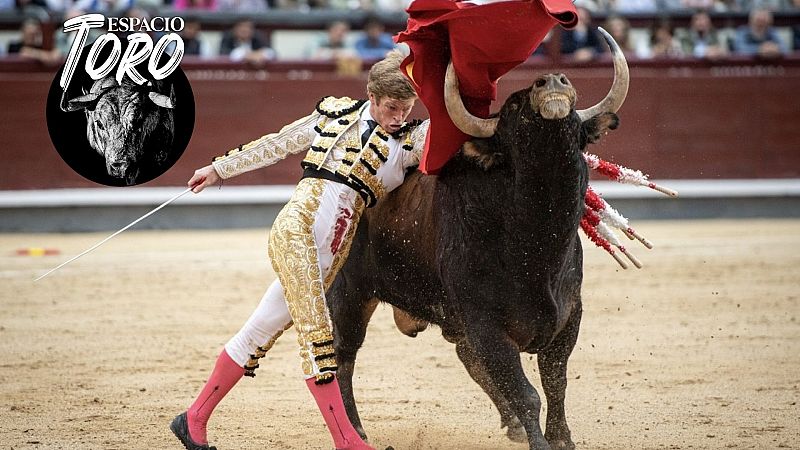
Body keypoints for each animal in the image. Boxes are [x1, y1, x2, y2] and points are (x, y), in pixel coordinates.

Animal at [326, 29, 632, 448]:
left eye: (572, 117)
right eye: (514, 105)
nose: (553, 82)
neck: (537, 240)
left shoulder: (569, 314)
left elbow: (555, 380)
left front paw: (561, 437)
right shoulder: (486, 324)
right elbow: (526, 391)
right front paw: (541, 440)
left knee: (464, 356)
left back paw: (512, 425)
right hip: (350, 294)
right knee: (344, 357)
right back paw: (355, 431)